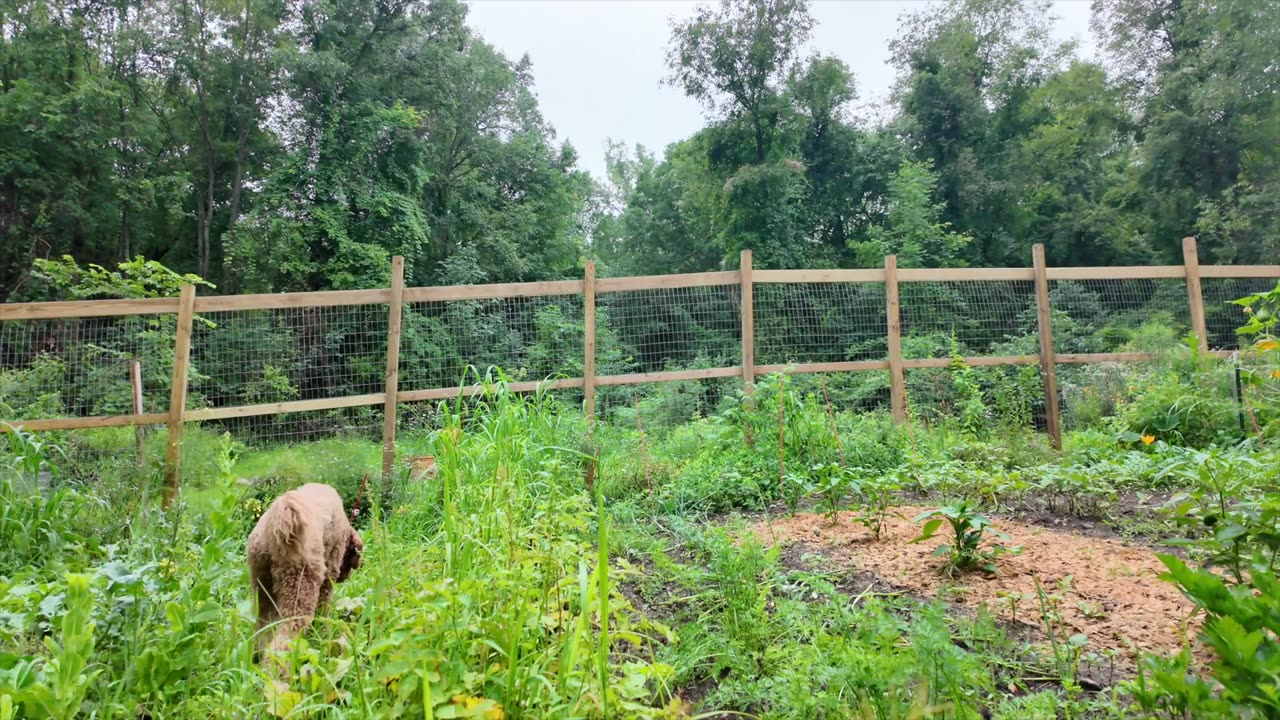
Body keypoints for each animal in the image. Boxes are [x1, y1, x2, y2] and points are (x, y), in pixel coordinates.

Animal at [247, 481, 363, 650]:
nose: (345, 577)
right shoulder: (327, 578)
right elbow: (323, 608)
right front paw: (323, 632)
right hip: (300, 583)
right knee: (287, 634)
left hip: (263, 588)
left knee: (263, 632)